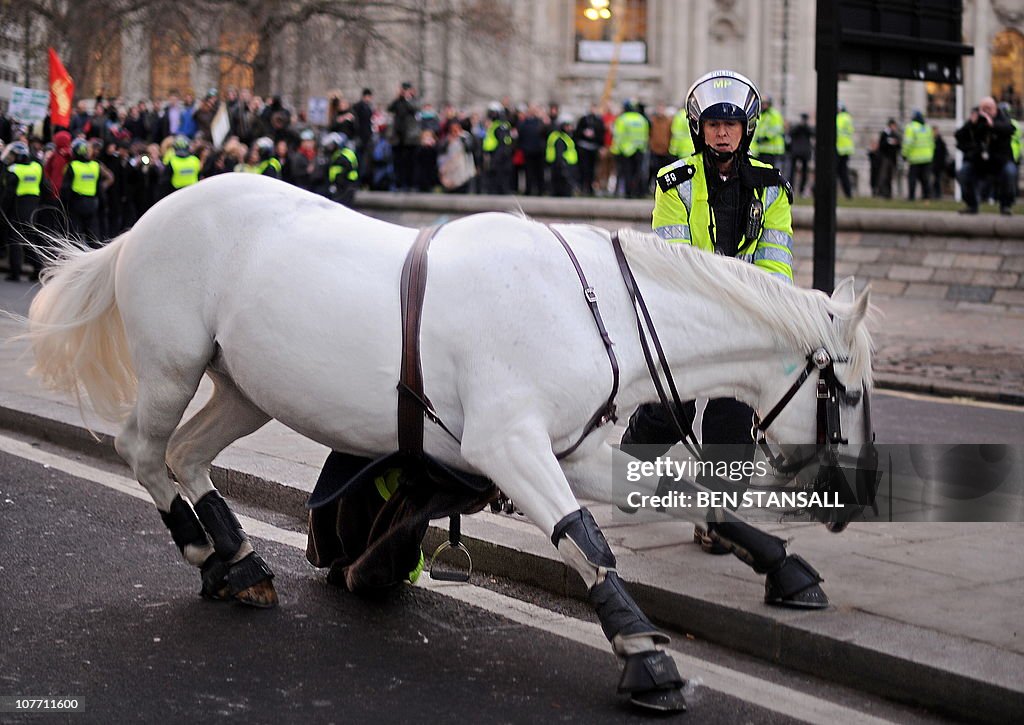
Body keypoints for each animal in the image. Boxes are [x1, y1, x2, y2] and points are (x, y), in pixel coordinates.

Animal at [24, 175, 872, 712]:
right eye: (853, 390)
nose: (852, 497)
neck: (591, 305)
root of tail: (148, 220)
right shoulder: (510, 443)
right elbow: (585, 539)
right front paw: (646, 657)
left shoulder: (571, 448)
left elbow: (676, 495)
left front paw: (785, 567)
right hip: (173, 365)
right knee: (144, 450)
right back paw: (207, 552)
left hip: (245, 388)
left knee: (189, 455)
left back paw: (239, 561)